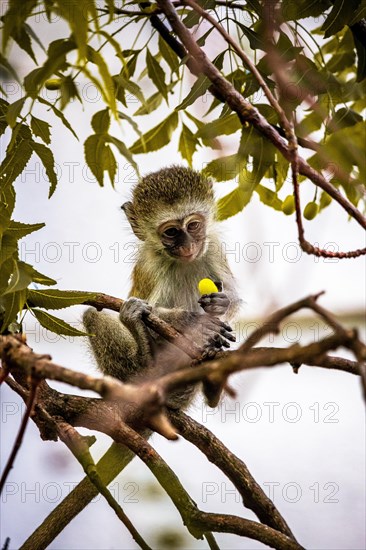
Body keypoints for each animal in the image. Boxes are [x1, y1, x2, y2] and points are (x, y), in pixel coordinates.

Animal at [84, 166, 242, 408]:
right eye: (171, 232)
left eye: (193, 225)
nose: (187, 247)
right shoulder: (152, 266)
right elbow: (153, 314)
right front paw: (190, 321)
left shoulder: (214, 246)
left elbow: (233, 298)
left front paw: (220, 303)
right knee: (93, 315)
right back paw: (143, 360)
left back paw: (213, 383)